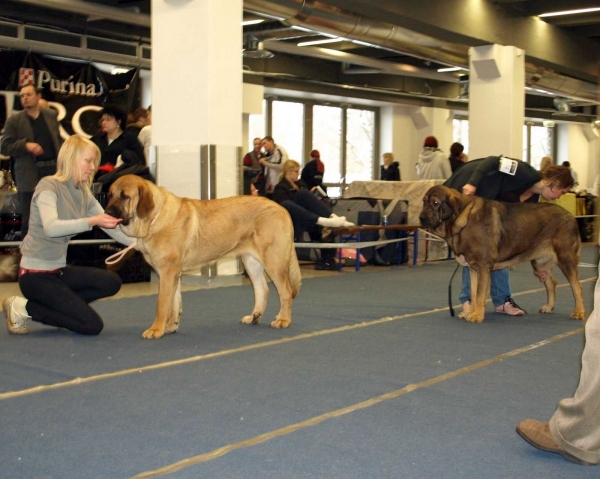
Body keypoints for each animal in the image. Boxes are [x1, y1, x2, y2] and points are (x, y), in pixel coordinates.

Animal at [106, 175, 302, 338]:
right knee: (263, 289)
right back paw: (254, 317)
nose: (107, 212)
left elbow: (162, 303)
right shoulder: (173, 274)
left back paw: (283, 320)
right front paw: (171, 326)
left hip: (274, 261)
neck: (154, 218)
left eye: (125, 196)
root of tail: (282, 208)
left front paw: (156, 329)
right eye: (110, 194)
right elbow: (174, 302)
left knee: (285, 291)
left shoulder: (167, 273)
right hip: (251, 260)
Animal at [420, 186, 584, 324]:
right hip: (539, 263)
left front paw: (477, 315)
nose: (421, 217)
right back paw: (549, 307)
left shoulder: (483, 266)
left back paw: (579, 312)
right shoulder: (473, 269)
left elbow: (479, 294)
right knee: (551, 282)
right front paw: (470, 312)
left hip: (566, 257)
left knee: (577, 286)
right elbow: (473, 293)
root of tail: (571, 216)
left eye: (435, 202)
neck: (463, 220)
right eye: (424, 201)